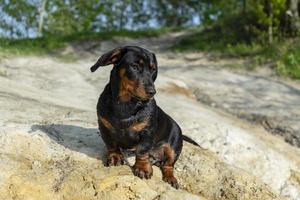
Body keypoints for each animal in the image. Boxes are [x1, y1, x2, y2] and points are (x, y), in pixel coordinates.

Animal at [91, 46, 199, 188]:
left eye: (153, 69)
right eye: (135, 66)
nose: (152, 92)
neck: (126, 103)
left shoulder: (147, 133)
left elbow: (142, 151)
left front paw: (142, 168)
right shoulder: (104, 126)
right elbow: (111, 144)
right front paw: (115, 157)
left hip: (174, 146)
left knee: (168, 165)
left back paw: (170, 178)